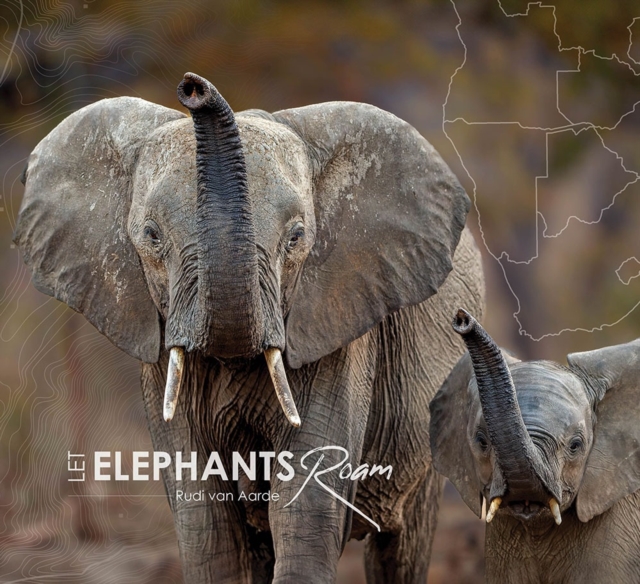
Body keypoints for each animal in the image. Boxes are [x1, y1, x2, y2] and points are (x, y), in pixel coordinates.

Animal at [14, 72, 485, 583]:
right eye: (151, 236)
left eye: (296, 237)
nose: (193, 87)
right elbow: (206, 522)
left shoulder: (335, 329)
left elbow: (305, 505)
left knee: (401, 546)